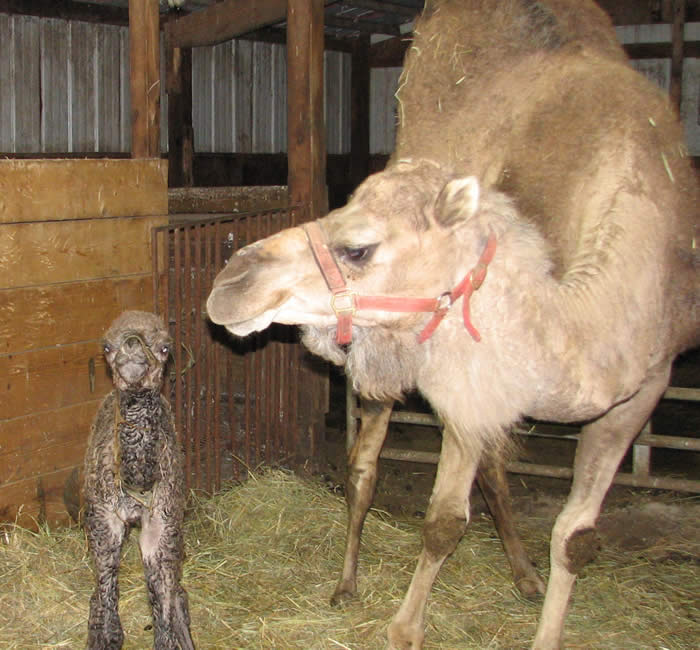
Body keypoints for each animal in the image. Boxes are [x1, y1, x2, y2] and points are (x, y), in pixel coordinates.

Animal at [83, 310, 196, 648]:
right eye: (107, 346)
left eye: (164, 347)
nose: (132, 347)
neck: (137, 484)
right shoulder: (102, 519)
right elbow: (105, 593)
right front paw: (105, 637)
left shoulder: (163, 524)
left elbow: (164, 600)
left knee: (177, 595)